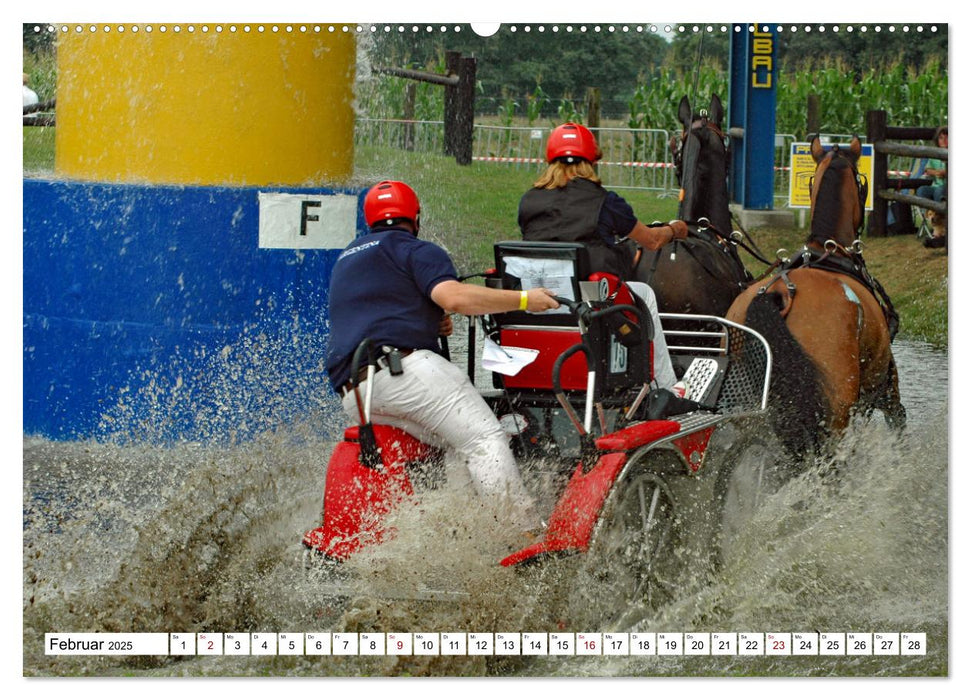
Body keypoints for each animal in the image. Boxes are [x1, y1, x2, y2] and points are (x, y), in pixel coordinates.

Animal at [728, 137, 912, 460]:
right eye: (862, 182)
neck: (830, 254)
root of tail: (778, 293)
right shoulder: (884, 385)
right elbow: (898, 420)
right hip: (836, 409)